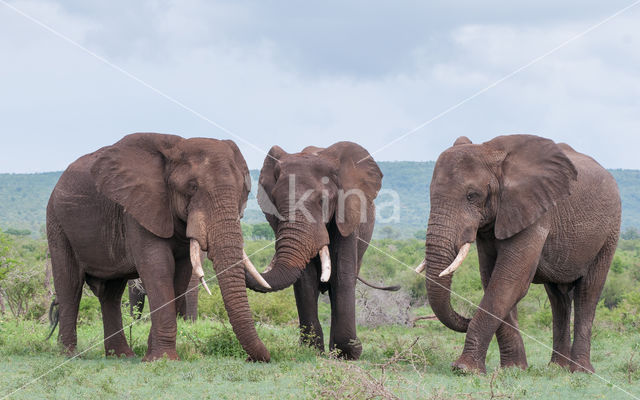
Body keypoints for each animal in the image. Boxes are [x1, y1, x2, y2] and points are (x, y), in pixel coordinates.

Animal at [46, 133, 272, 360]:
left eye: (244, 191)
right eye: (192, 187)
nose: (254, 358)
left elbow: (180, 275)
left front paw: (154, 356)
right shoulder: (138, 209)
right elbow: (158, 269)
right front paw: (163, 358)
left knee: (111, 294)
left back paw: (122, 356)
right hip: (57, 223)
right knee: (70, 284)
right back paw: (69, 354)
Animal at [242, 142, 390, 360]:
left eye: (322, 201)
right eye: (274, 202)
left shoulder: (348, 215)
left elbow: (341, 275)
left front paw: (348, 353)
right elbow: (305, 279)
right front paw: (312, 350)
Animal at [416, 136, 620, 374]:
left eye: (471, 196)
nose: (466, 317)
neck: (492, 151)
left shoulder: (536, 211)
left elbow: (510, 281)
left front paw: (464, 369)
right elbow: (492, 279)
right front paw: (514, 369)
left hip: (609, 232)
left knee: (588, 292)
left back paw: (580, 371)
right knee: (558, 298)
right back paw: (556, 369)